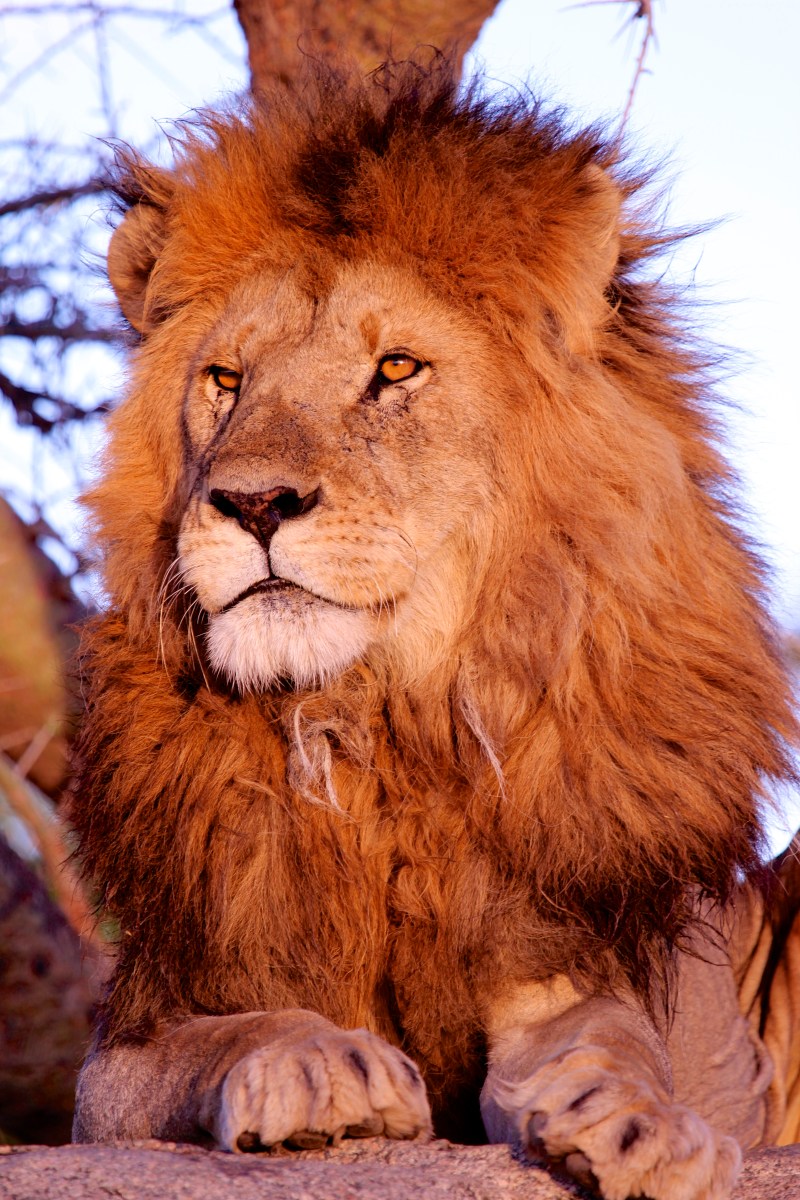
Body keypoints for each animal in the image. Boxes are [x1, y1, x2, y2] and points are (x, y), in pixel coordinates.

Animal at [67, 60, 800, 1200]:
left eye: (397, 371)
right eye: (225, 381)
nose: (253, 503)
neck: (374, 725)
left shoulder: (567, 947)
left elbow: (613, 1035)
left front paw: (638, 1122)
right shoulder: (134, 1035)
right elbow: (214, 1037)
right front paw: (314, 1063)